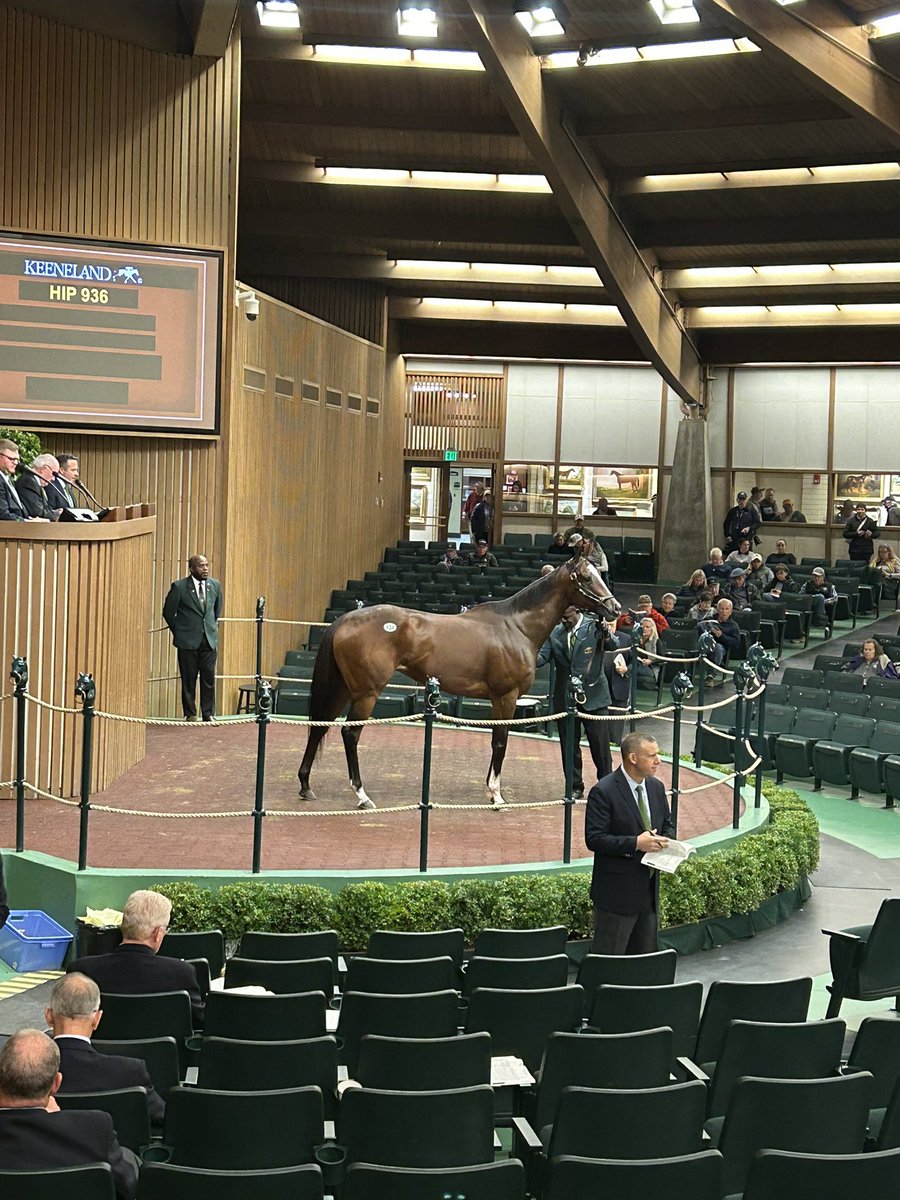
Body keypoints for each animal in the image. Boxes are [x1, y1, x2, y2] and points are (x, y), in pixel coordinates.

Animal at [300, 556, 624, 811]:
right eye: (586, 577)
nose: (615, 609)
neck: (516, 627)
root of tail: (344, 620)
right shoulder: (505, 697)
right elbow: (500, 742)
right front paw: (496, 796)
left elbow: (496, 741)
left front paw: (491, 789)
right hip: (366, 693)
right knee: (350, 734)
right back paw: (362, 796)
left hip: (344, 689)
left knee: (320, 727)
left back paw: (305, 785)